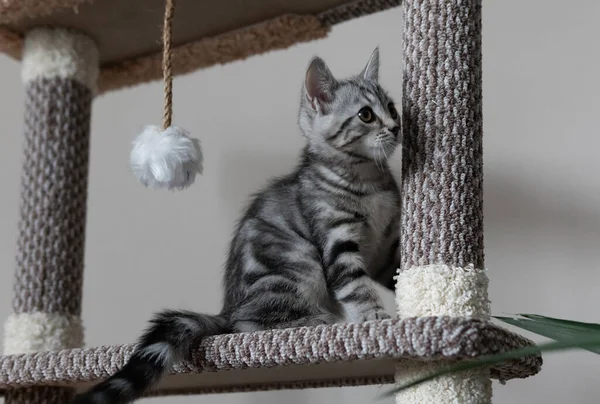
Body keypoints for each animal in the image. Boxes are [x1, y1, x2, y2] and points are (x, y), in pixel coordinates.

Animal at [72, 48, 400, 404]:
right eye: (366, 115)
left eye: (391, 107)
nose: (397, 127)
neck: (368, 179)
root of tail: (227, 308)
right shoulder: (336, 238)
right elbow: (357, 286)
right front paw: (376, 320)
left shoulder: (384, 247)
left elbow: (395, 271)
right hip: (298, 265)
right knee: (246, 325)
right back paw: (316, 321)